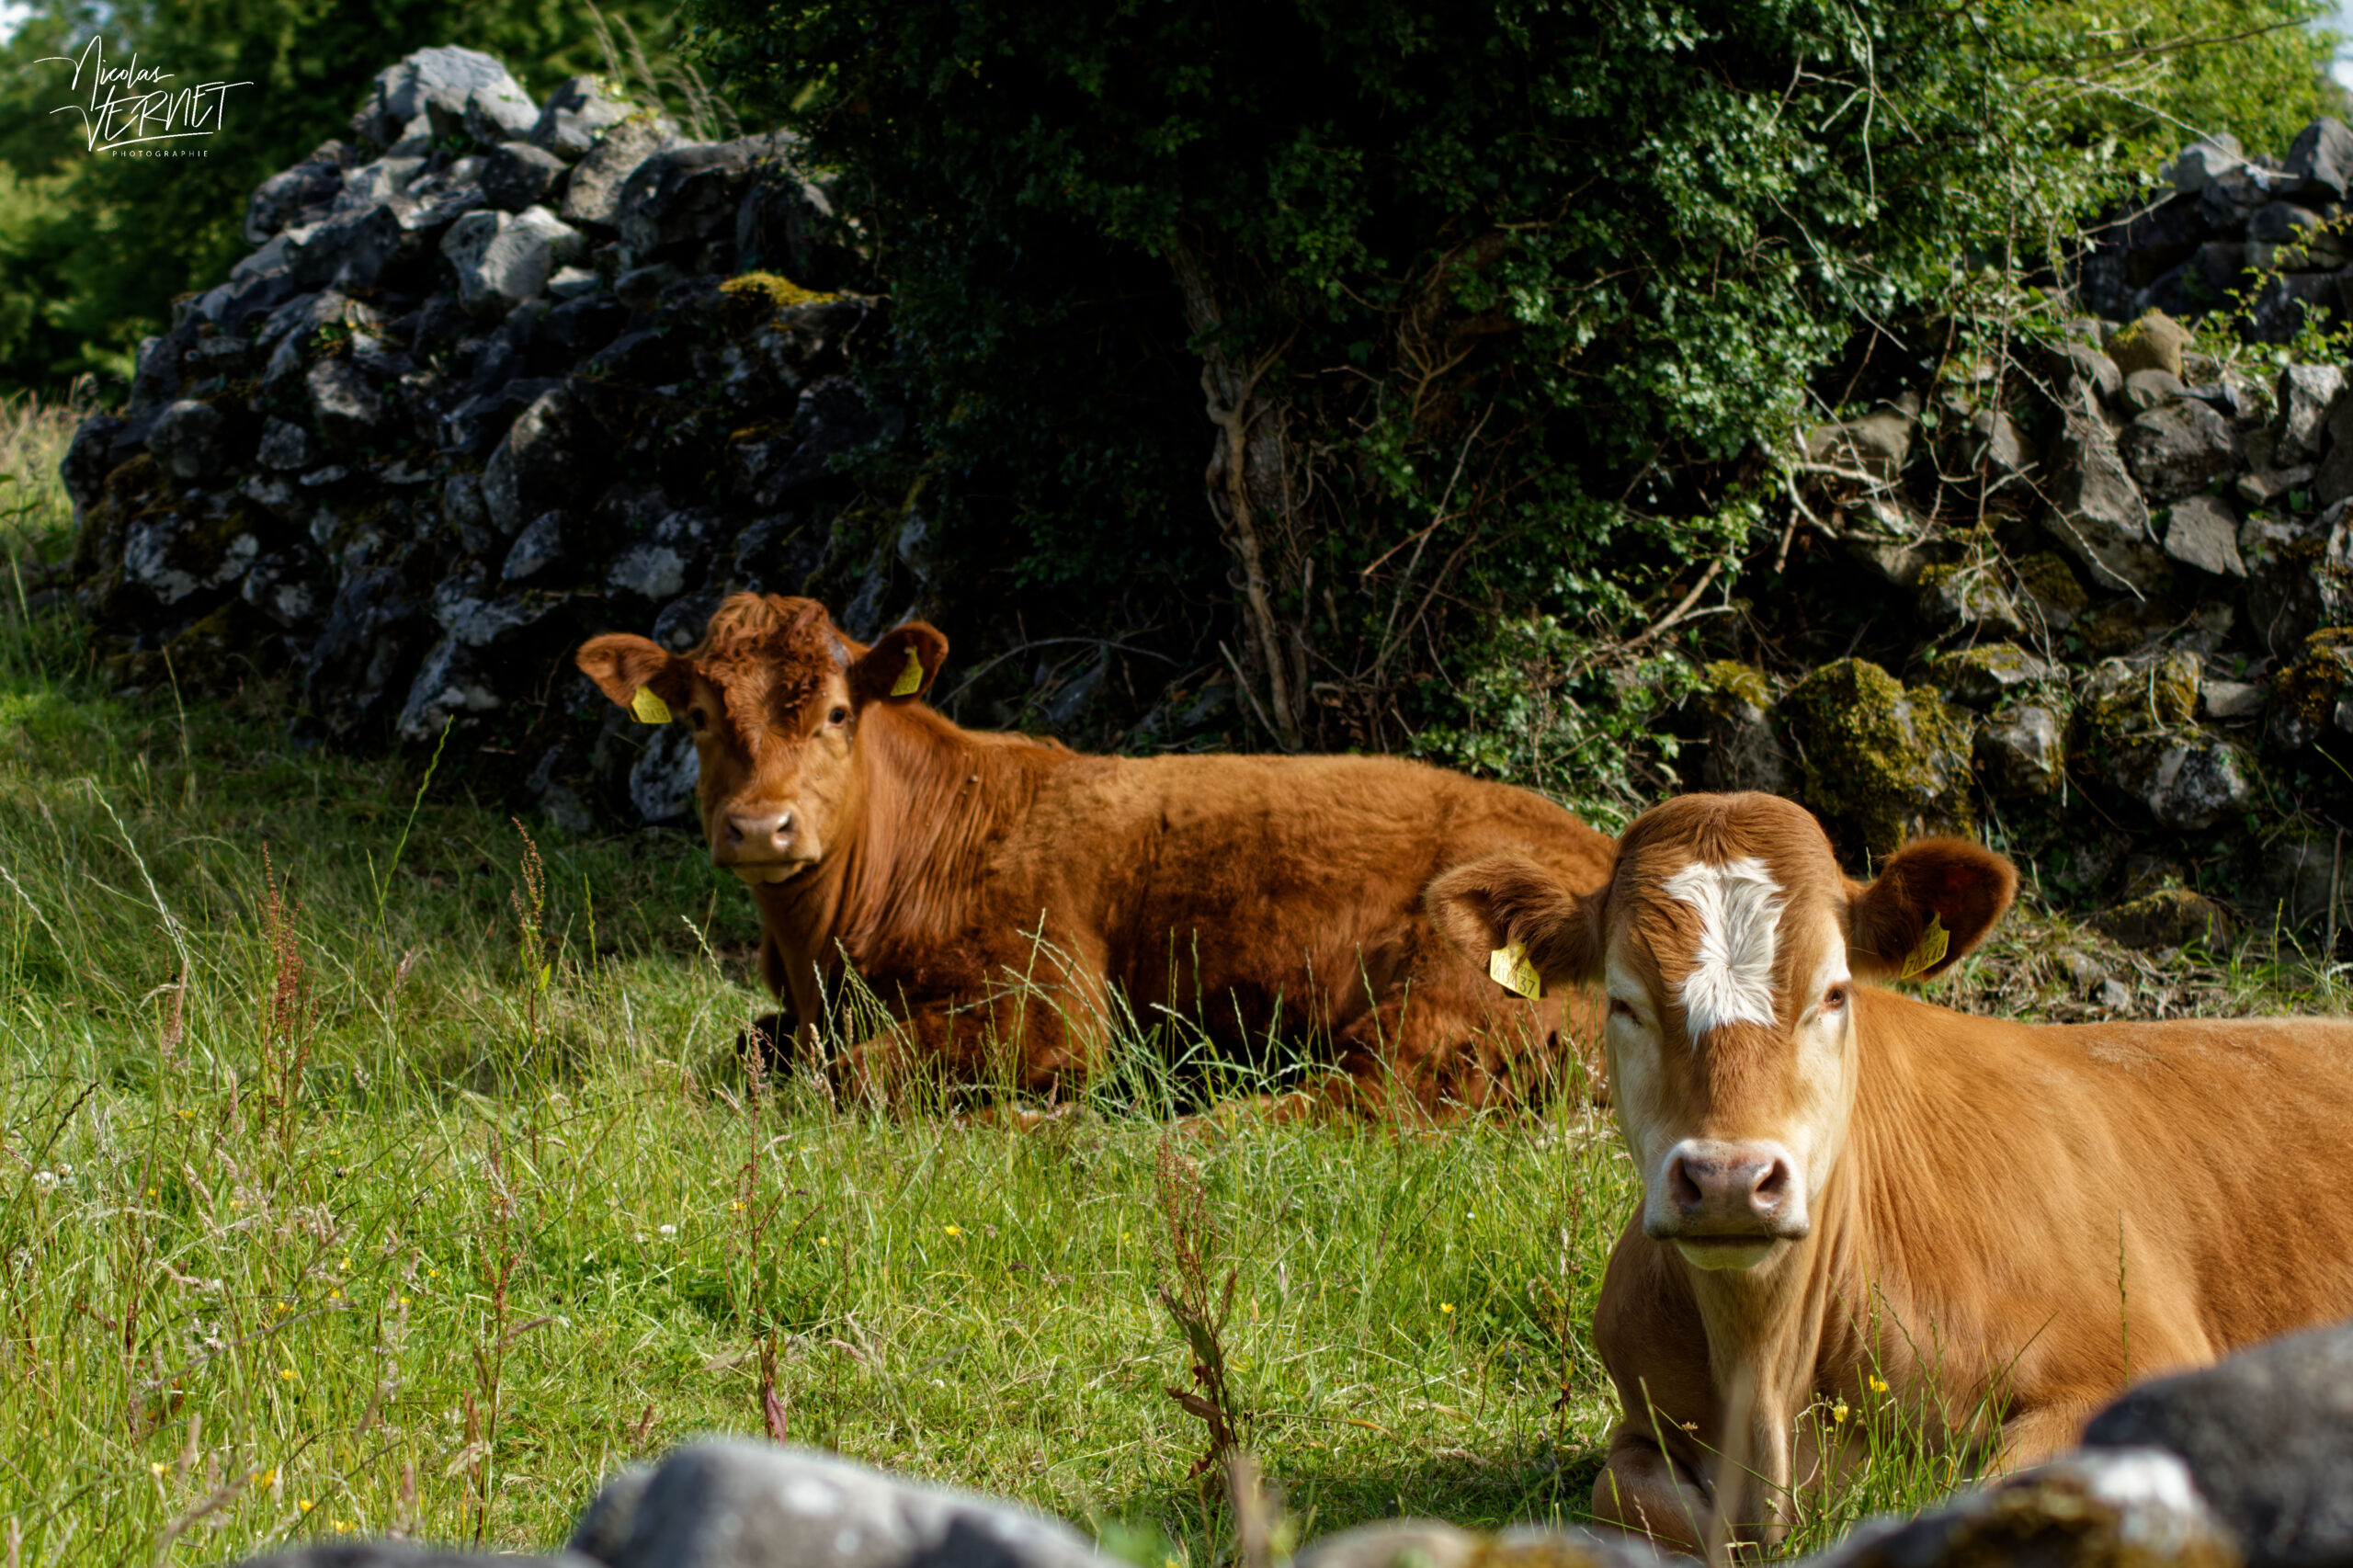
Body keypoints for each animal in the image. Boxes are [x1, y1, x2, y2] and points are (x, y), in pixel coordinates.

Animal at [575, 593, 1613, 1113]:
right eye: (698, 717)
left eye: (836, 712)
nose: (761, 827)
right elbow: (745, 1053)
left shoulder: (1046, 1001)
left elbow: (852, 1073)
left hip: (1440, 988)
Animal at [1427, 790, 2353, 1547]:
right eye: (1622, 1001)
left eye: (1835, 992)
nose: (1729, 1179)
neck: (1767, 1376)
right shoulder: (1641, 1426)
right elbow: (1633, 1499)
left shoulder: (2136, 1367)